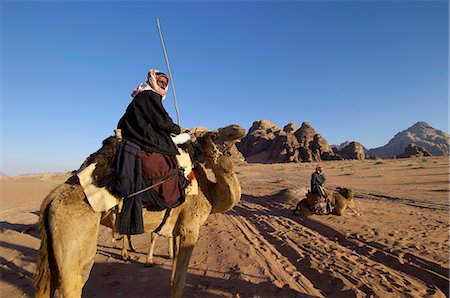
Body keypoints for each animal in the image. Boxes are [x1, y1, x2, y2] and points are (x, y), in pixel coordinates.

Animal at [33, 124, 246, 298]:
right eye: (215, 133)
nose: (239, 128)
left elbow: (173, 277)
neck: (209, 193)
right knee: (74, 281)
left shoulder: (178, 231)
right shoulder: (190, 228)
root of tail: (51, 199)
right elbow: (179, 283)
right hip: (76, 240)